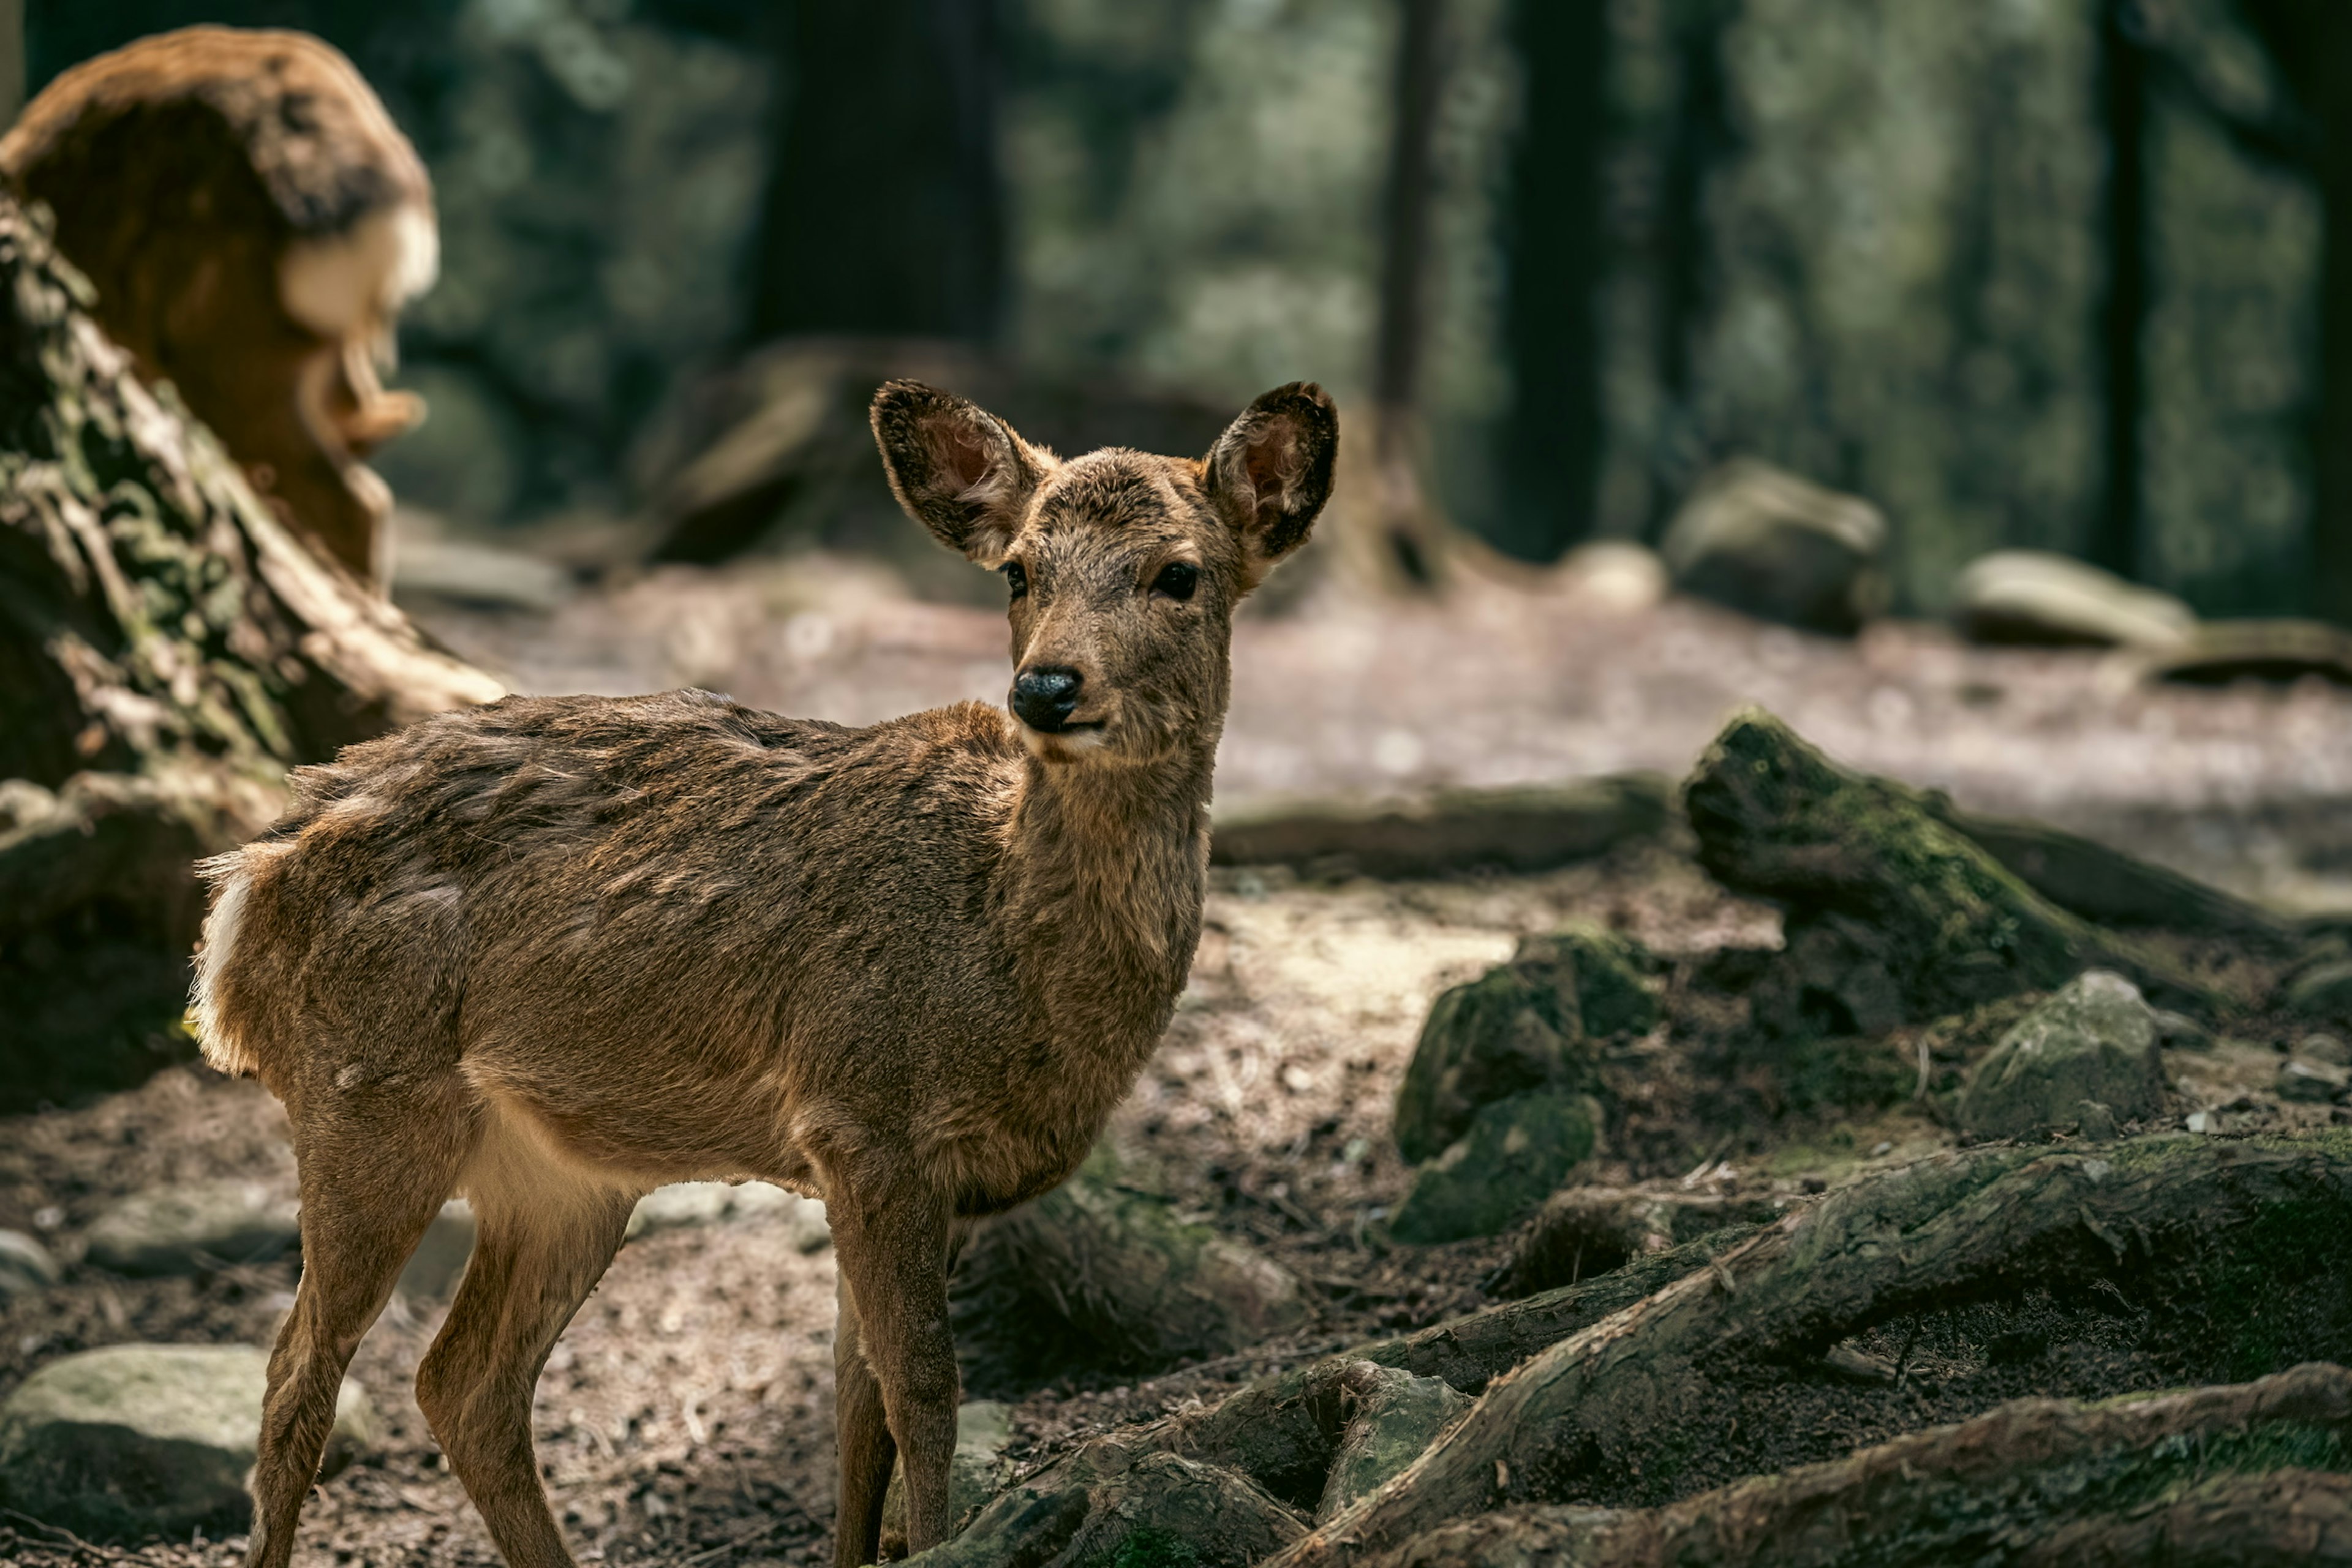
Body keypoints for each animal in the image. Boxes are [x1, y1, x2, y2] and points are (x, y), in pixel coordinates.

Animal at [190, 380, 1336, 1568]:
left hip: (560, 1173)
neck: (1008, 960)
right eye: (1020, 569)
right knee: (297, 1377)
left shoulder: (909, 1169)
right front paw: (938, 1543)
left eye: (1179, 573)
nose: (1048, 688)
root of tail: (242, 891)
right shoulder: (863, 1108)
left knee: (463, 1382)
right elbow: (925, 1391)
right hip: (365, 1091)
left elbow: (858, 1401)